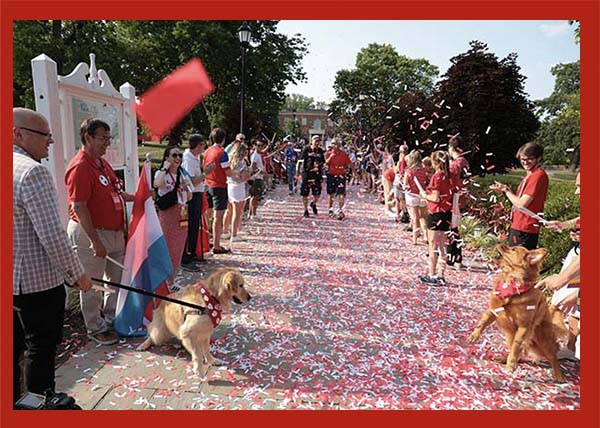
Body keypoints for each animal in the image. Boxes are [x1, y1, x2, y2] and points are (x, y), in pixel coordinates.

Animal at [468, 246, 568, 382]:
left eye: (513, 249)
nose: (500, 243)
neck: (512, 285)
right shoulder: (492, 311)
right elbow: (482, 323)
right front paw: (474, 336)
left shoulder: (523, 326)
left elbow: (516, 347)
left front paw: (511, 365)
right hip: (511, 335)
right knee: (518, 351)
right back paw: (505, 359)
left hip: (543, 340)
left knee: (552, 356)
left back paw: (558, 374)